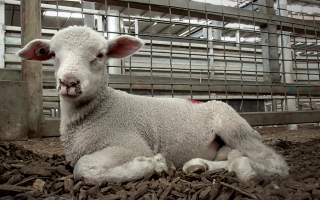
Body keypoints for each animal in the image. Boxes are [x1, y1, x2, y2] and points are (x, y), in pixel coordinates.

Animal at [17, 25, 288, 184]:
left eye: (100, 55)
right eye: (53, 54)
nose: (69, 82)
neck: (98, 110)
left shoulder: (130, 144)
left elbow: (84, 168)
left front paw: (151, 165)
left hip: (232, 125)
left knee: (274, 162)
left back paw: (248, 171)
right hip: (223, 143)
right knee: (231, 156)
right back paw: (199, 166)